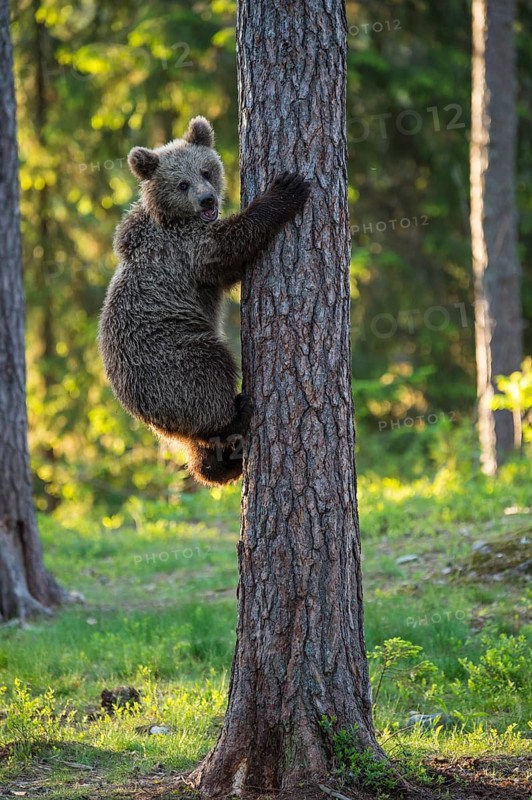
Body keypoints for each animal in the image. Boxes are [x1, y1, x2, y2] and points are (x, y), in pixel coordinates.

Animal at [98, 116, 310, 486]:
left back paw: (221, 462)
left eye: (206, 171)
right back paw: (237, 413)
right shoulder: (186, 250)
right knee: (211, 375)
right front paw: (285, 189)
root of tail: (142, 412)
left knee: (197, 444)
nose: (207, 201)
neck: (170, 218)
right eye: (182, 184)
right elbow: (231, 245)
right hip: (173, 361)